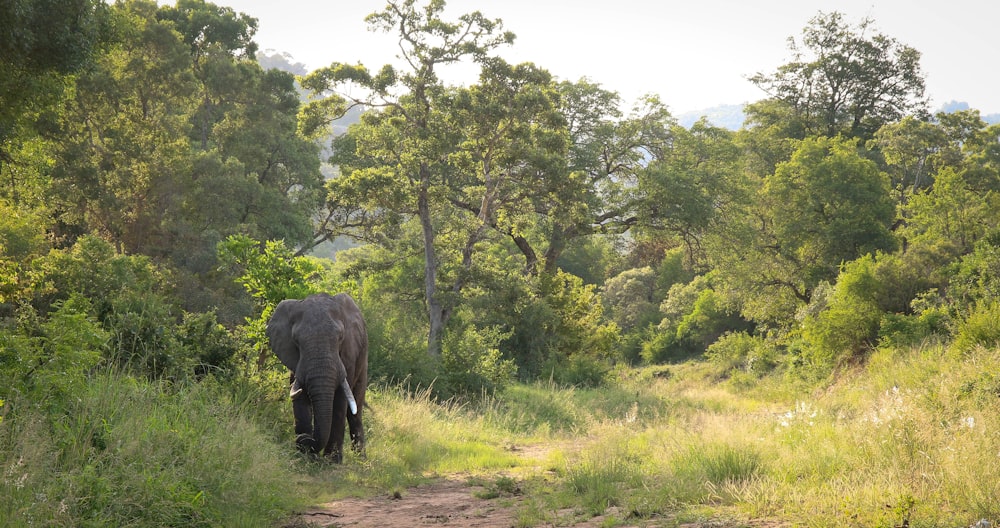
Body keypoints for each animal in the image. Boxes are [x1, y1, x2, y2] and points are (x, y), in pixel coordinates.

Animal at [268, 292, 370, 462]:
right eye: (296, 341)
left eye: (340, 338)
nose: (303, 439)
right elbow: (300, 398)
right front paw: (304, 456)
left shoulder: (348, 356)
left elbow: (340, 402)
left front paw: (332, 461)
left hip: (363, 361)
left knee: (355, 411)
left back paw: (361, 459)